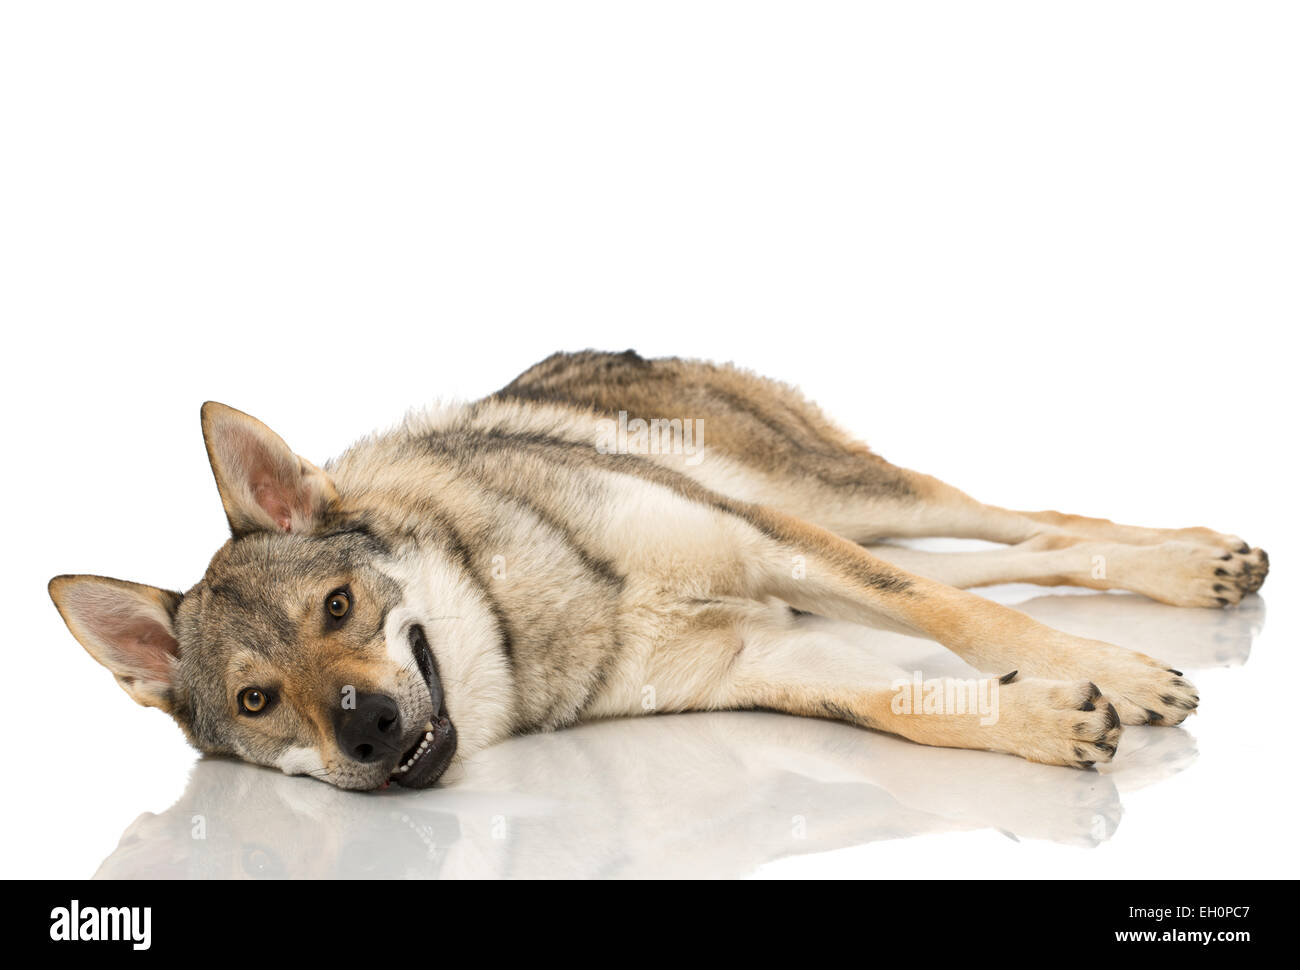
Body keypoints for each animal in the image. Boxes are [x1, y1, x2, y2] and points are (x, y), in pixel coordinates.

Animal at [45, 351, 1263, 790]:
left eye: (338, 605)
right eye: (258, 700)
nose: (370, 731)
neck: (528, 607)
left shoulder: (767, 546)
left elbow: (968, 622)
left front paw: (1119, 673)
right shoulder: (770, 650)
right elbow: (916, 703)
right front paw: (1047, 717)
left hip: (836, 502)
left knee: (1024, 527)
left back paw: (1200, 562)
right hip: (833, 522)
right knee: (1015, 551)